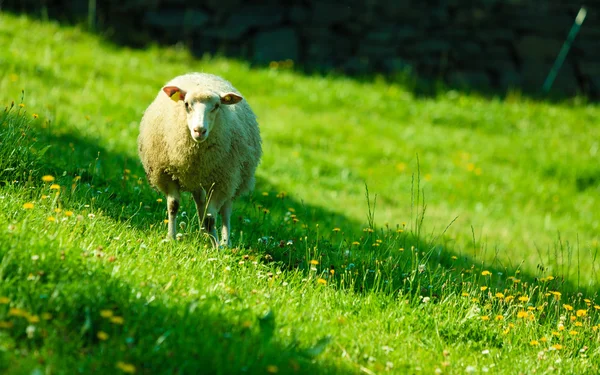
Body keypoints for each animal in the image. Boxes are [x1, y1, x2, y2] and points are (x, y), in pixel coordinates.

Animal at [139, 72, 264, 250]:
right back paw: (204, 233)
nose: (200, 130)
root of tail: (203, 74)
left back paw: (225, 242)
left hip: (233, 179)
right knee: (200, 204)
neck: (195, 153)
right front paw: (171, 238)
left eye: (217, 106)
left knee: (225, 210)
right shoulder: (167, 174)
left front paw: (216, 247)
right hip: (197, 181)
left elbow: (211, 217)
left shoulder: (221, 182)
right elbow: (173, 206)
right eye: (186, 104)